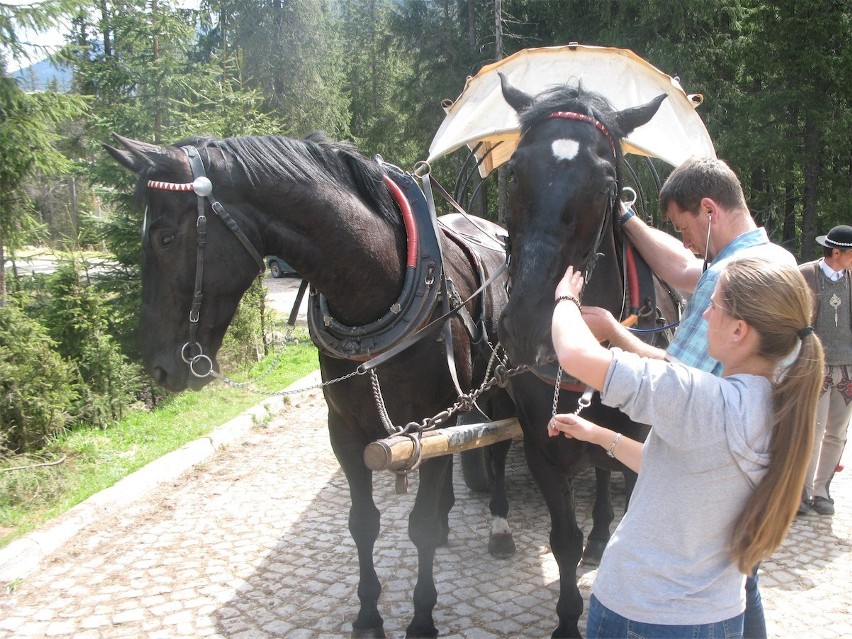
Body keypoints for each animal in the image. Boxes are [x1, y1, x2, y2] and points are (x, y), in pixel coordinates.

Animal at [102, 132, 516, 636]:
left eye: (165, 237)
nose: (158, 367)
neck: (384, 286)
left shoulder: (435, 416)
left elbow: (418, 525)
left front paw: (421, 618)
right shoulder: (346, 432)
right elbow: (363, 523)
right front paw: (367, 615)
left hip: (497, 387)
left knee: (497, 449)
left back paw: (498, 527)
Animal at [496, 74, 676, 636]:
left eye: (605, 184)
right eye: (513, 172)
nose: (528, 323)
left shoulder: (644, 448)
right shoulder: (541, 449)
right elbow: (562, 540)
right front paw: (568, 618)